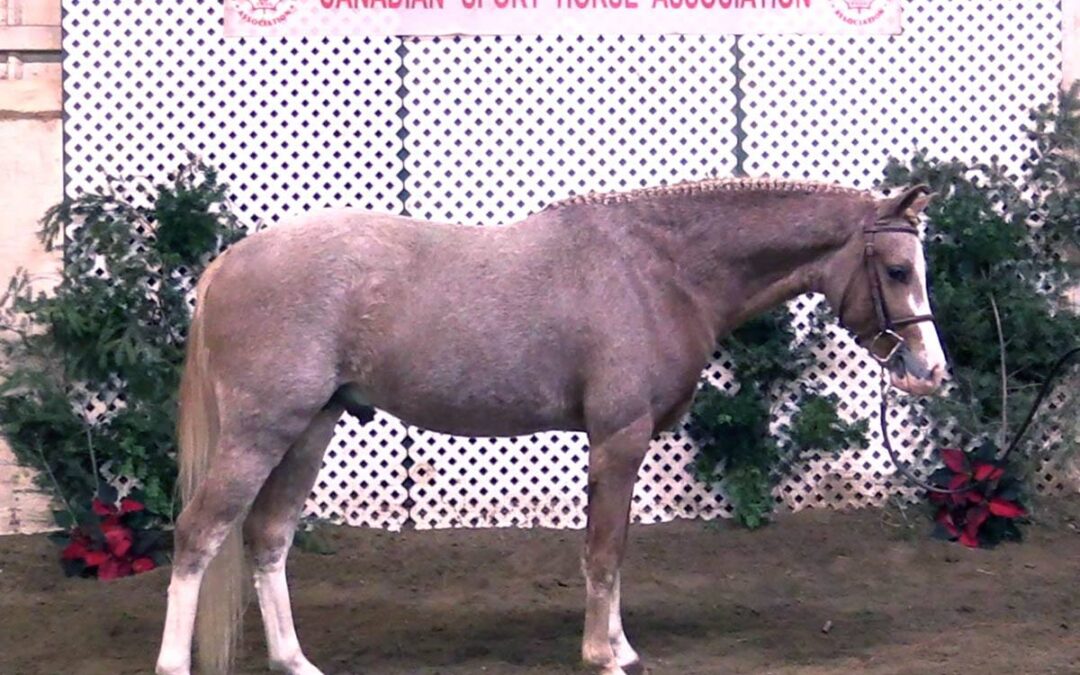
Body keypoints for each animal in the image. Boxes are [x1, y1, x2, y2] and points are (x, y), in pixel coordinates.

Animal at [153, 177, 946, 675]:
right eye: (898, 270)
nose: (931, 371)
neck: (658, 271)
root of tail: (228, 264)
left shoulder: (614, 442)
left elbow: (611, 547)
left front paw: (620, 647)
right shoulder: (619, 436)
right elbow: (603, 552)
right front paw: (602, 655)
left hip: (310, 429)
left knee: (267, 536)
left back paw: (295, 660)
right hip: (260, 433)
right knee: (198, 534)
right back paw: (174, 661)